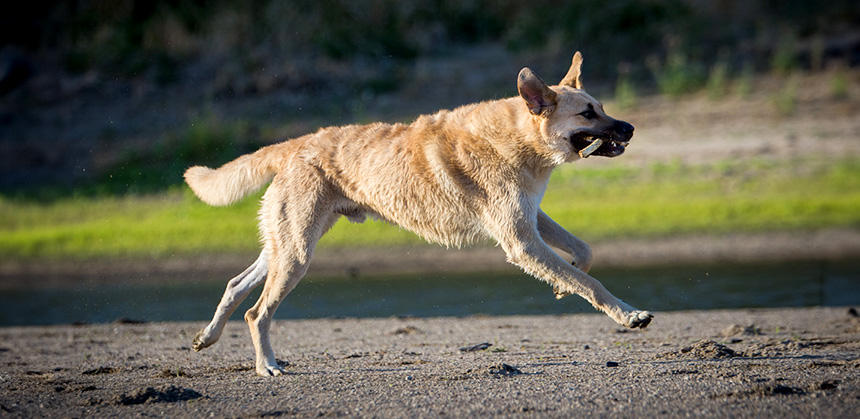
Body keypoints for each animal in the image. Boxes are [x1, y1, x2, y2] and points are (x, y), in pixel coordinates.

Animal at [183, 52, 652, 378]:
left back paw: (208, 336)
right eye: (588, 113)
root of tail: (297, 143)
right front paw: (628, 315)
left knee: (235, 285)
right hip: (296, 254)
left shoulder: (530, 219)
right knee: (257, 312)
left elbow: (582, 254)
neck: (519, 138)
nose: (630, 128)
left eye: (602, 106)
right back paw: (267, 366)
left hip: (284, 246)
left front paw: (559, 286)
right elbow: (591, 283)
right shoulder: (520, 240)